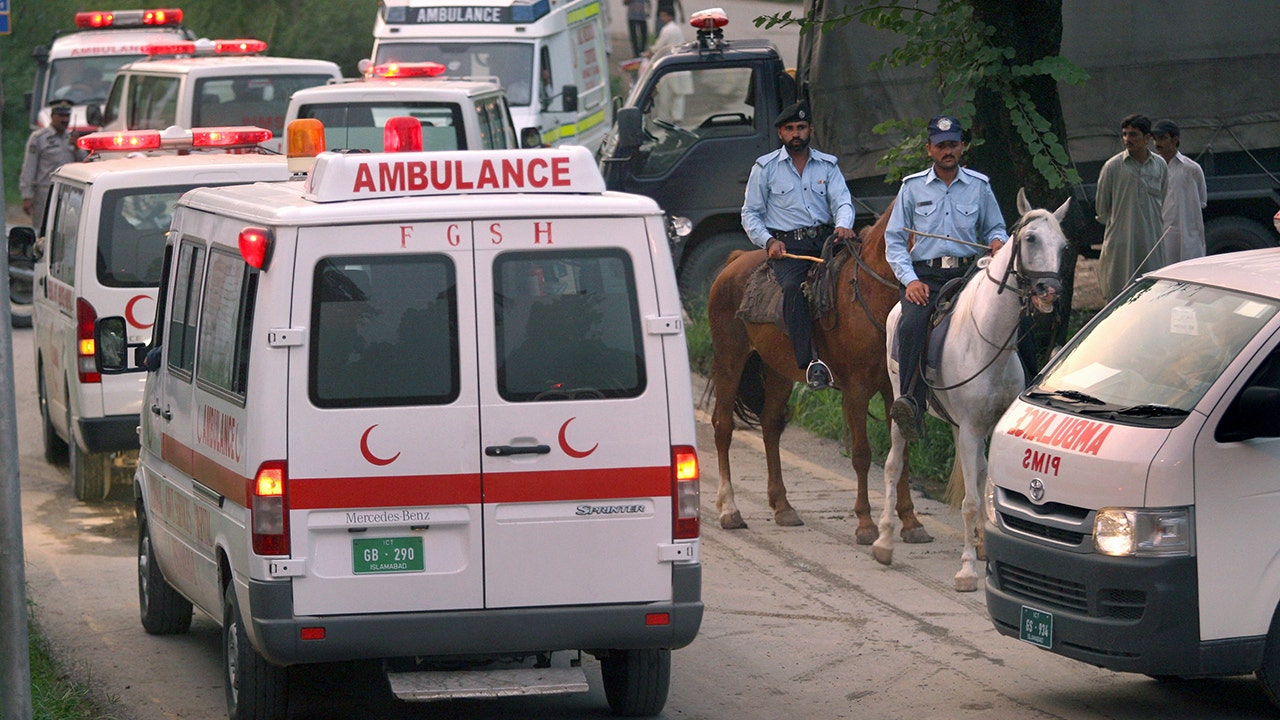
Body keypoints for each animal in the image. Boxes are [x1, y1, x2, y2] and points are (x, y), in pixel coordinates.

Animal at [711, 207, 931, 543]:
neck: (869, 296)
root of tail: (734, 261)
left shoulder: (893, 391)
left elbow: (901, 455)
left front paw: (911, 522)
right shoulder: (856, 390)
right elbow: (862, 454)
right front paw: (865, 524)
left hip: (777, 370)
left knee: (770, 425)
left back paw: (783, 506)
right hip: (729, 359)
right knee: (723, 427)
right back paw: (730, 510)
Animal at [870, 189, 1070, 589]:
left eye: (1064, 245)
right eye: (1031, 239)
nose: (1050, 292)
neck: (990, 343)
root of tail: (898, 307)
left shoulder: (985, 428)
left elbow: (987, 486)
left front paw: (981, 549)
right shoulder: (972, 430)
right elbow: (971, 501)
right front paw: (966, 569)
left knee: (976, 472)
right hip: (903, 407)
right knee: (893, 464)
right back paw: (883, 540)